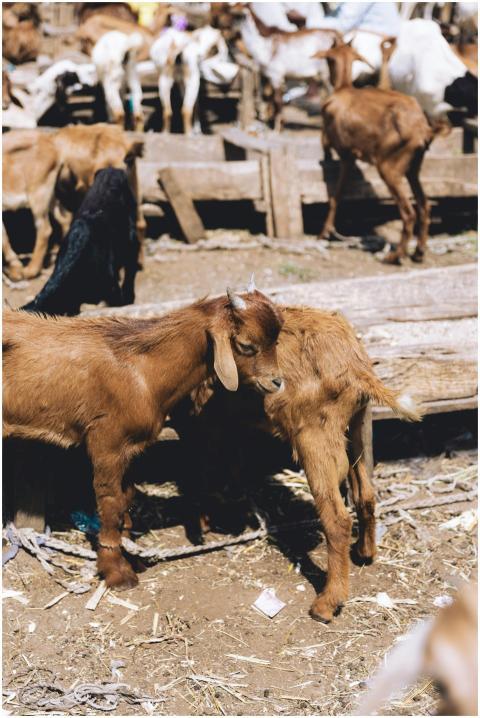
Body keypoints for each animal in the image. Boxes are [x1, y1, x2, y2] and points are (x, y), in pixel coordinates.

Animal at [3, 286, 284, 589]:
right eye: (246, 345)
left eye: (277, 340)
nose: (277, 382)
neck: (142, 371)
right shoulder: (106, 444)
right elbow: (111, 504)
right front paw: (116, 571)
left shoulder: (129, 449)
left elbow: (127, 498)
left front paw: (132, 555)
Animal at [171, 301, 421, 623]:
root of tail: (357, 365)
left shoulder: (204, 424)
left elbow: (205, 469)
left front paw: (204, 522)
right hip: (358, 421)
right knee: (365, 493)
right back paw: (365, 553)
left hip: (314, 435)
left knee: (337, 519)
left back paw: (327, 604)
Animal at [314, 41, 435, 264]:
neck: (344, 89)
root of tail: (422, 128)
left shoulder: (343, 153)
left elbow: (336, 194)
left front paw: (324, 232)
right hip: (413, 168)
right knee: (424, 206)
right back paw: (418, 252)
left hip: (389, 167)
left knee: (409, 212)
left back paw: (395, 255)